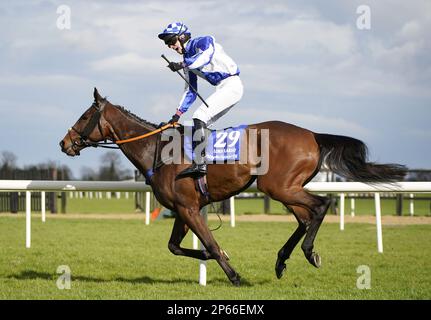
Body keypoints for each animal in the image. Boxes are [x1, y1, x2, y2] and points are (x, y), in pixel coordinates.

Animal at [59, 87, 406, 284]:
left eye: (85, 115)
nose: (64, 143)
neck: (158, 149)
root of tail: (312, 134)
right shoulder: (184, 209)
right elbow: (176, 247)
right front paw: (217, 257)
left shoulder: (187, 207)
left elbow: (210, 244)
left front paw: (235, 275)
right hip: (285, 189)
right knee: (306, 218)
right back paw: (282, 260)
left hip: (279, 187)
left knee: (321, 206)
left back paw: (307, 254)